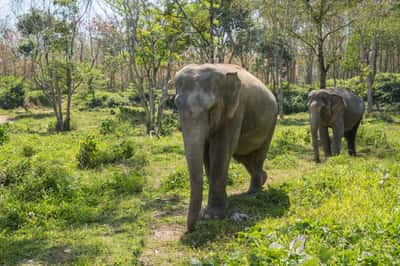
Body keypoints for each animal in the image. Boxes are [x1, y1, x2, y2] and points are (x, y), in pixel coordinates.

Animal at [175, 64, 278, 231]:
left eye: (212, 108)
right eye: (176, 105)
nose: (192, 229)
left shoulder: (235, 110)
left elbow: (220, 148)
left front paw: (213, 216)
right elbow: (207, 152)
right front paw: (216, 210)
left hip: (272, 123)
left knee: (259, 154)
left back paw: (254, 193)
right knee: (244, 157)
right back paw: (263, 179)